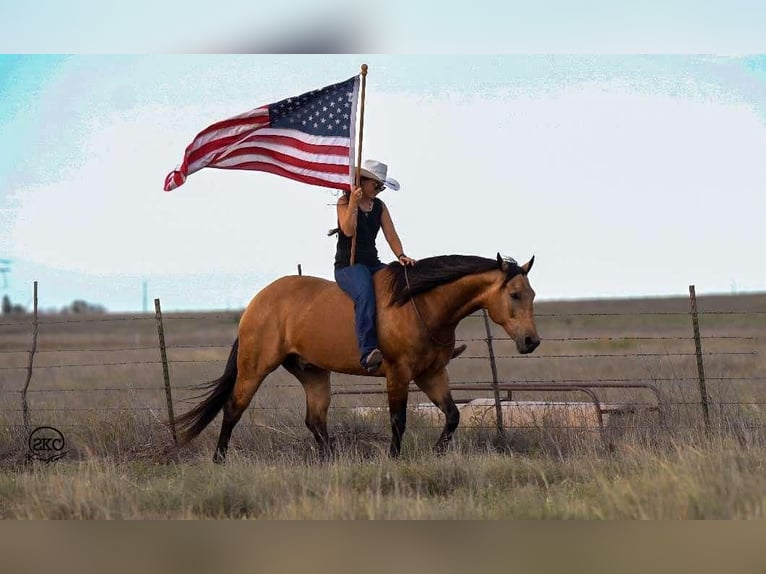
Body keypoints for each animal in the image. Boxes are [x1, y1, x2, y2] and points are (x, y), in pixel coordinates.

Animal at [178, 253, 544, 464]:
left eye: (532, 294)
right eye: (514, 294)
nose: (531, 341)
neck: (419, 305)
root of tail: (256, 304)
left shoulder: (431, 374)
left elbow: (452, 416)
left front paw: (436, 452)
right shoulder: (399, 374)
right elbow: (398, 420)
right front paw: (395, 459)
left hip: (313, 373)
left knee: (315, 420)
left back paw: (331, 460)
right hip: (254, 368)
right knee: (233, 409)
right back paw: (219, 460)